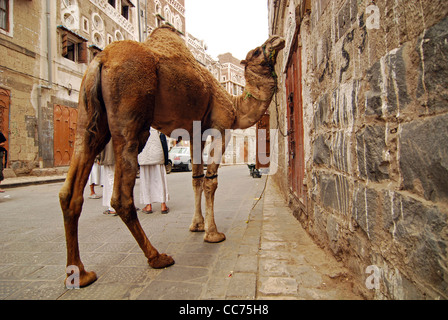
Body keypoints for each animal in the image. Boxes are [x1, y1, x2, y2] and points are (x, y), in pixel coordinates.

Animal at [59, 25, 286, 288]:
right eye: (257, 51)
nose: (277, 39)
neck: (235, 104)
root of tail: (101, 59)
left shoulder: (195, 133)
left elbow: (196, 179)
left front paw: (197, 225)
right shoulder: (221, 128)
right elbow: (211, 182)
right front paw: (213, 233)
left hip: (89, 116)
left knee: (72, 185)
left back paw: (79, 273)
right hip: (131, 112)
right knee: (121, 195)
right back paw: (157, 257)